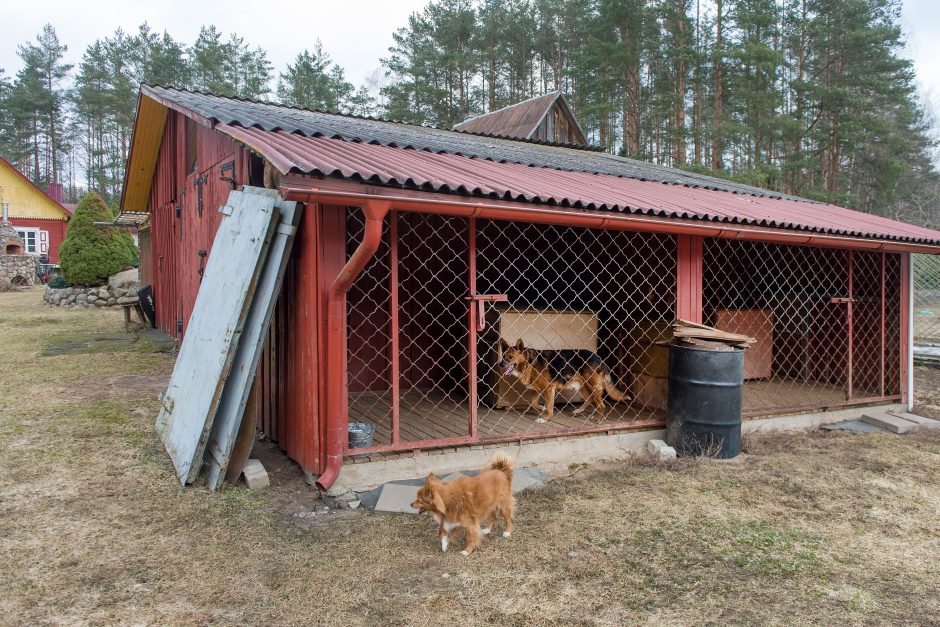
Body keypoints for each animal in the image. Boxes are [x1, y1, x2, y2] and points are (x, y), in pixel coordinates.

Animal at [496, 338, 628, 426]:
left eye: (510, 357)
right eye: (503, 356)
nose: (500, 364)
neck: (529, 363)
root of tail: (599, 359)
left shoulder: (549, 389)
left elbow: (549, 406)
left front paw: (544, 418)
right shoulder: (538, 390)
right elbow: (533, 403)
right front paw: (542, 408)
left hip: (592, 386)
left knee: (601, 405)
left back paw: (597, 419)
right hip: (582, 385)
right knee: (590, 398)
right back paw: (579, 410)